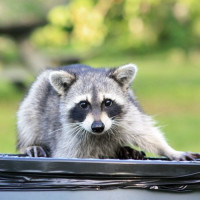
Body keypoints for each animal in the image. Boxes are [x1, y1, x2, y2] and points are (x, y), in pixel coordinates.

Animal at [16, 63, 194, 160]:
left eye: (107, 102)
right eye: (83, 104)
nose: (97, 127)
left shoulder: (128, 114)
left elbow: (147, 133)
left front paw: (169, 150)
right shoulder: (68, 137)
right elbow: (67, 154)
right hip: (35, 95)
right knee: (28, 119)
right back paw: (29, 144)